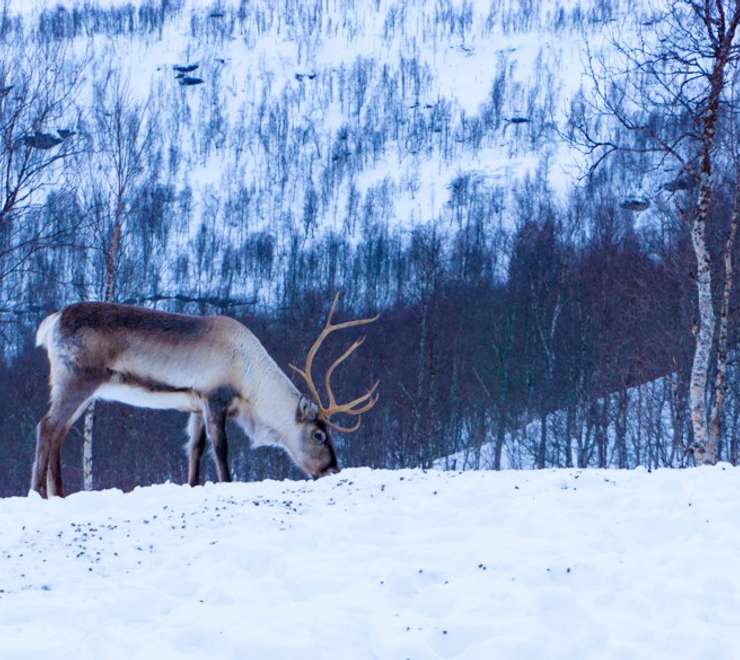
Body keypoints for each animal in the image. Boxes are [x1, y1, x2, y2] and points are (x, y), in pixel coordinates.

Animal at [31, 293, 379, 498]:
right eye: (319, 434)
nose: (333, 469)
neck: (250, 382)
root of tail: (52, 322)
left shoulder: (195, 405)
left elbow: (195, 449)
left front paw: (193, 485)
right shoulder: (215, 399)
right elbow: (220, 448)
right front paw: (227, 483)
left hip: (80, 389)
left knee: (59, 431)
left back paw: (59, 493)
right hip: (77, 380)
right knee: (47, 426)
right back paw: (39, 492)